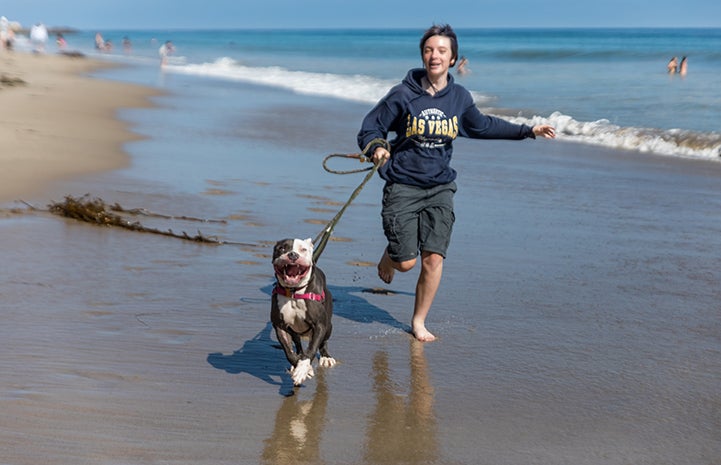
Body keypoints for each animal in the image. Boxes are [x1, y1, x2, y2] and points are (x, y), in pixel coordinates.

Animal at [272, 237, 336, 386]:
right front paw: (302, 367)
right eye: (282, 248)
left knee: (323, 342)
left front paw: (302, 369)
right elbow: (288, 351)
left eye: (303, 249)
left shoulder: (319, 325)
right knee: (297, 344)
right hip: (294, 331)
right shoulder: (280, 326)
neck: (294, 292)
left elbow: (312, 348)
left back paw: (325, 357)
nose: (292, 255)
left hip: (328, 327)